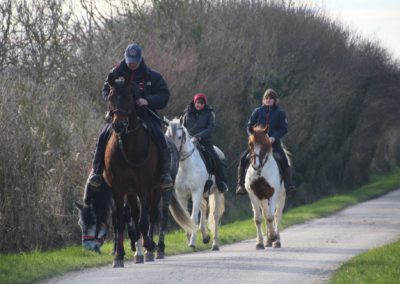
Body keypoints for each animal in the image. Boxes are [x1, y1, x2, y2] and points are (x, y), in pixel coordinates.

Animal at [104, 78, 164, 268]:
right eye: (110, 97)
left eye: (130, 97)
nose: (118, 125)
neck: (128, 147)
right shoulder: (118, 188)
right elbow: (121, 220)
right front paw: (118, 256)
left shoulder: (144, 187)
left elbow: (144, 220)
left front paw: (149, 245)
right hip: (130, 192)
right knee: (135, 214)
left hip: (157, 189)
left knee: (151, 215)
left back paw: (150, 247)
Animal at [163, 116, 225, 250]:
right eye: (167, 136)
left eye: (179, 137)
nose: (171, 155)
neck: (185, 166)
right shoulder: (182, 195)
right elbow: (186, 216)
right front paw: (189, 238)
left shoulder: (196, 192)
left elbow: (193, 217)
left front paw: (192, 242)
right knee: (203, 206)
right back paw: (205, 237)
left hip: (216, 193)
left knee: (215, 215)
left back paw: (215, 243)